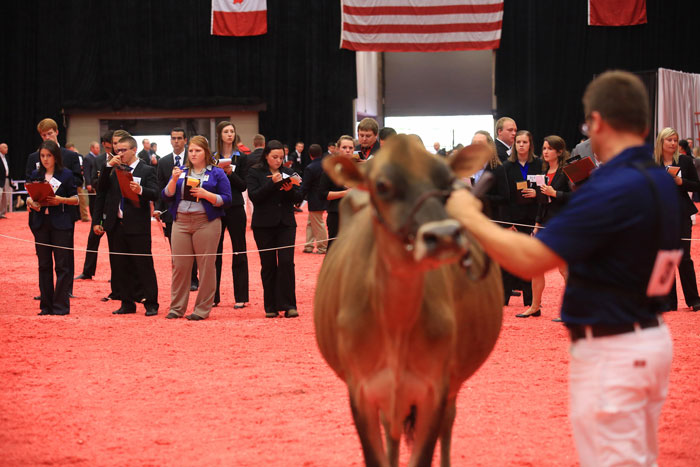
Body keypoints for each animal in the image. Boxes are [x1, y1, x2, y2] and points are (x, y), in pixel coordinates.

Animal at [314, 136, 504, 467]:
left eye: (446, 182)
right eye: (382, 185)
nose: (444, 235)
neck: (396, 325)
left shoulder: (434, 389)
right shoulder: (360, 391)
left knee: (448, 423)